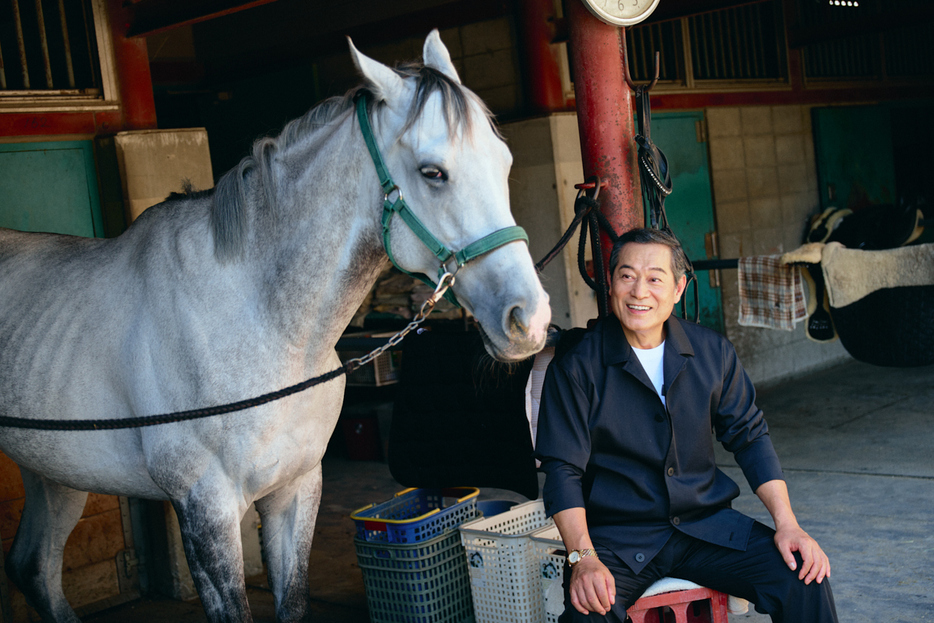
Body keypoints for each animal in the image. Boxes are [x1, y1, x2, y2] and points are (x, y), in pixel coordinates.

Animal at [0, 31, 552, 620]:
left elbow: (293, 600)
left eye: (504, 159)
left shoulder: (295, 489)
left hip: (54, 475)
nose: (530, 317)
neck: (265, 326)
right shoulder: (206, 509)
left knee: (34, 568)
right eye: (433, 172)